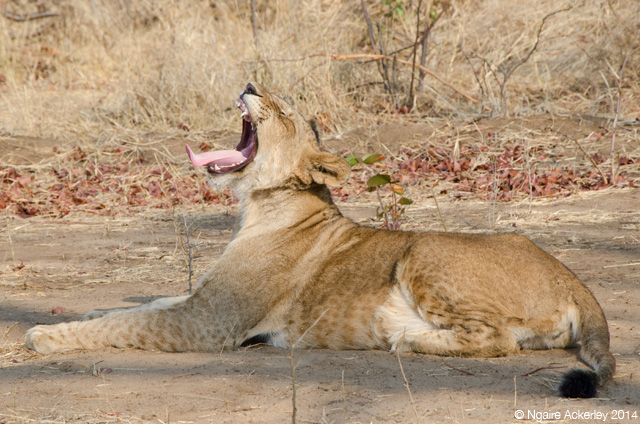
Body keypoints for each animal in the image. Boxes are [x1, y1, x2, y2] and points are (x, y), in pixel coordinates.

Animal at [26, 82, 615, 398]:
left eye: (282, 112)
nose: (250, 85)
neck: (258, 204)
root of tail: (571, 277)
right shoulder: (202, 302)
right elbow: (141, 304)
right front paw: (81, 314)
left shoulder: (208, 324)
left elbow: (130, 323)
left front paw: (43, 336)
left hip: (425, 252)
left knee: (497, 338)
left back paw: (405, 335)